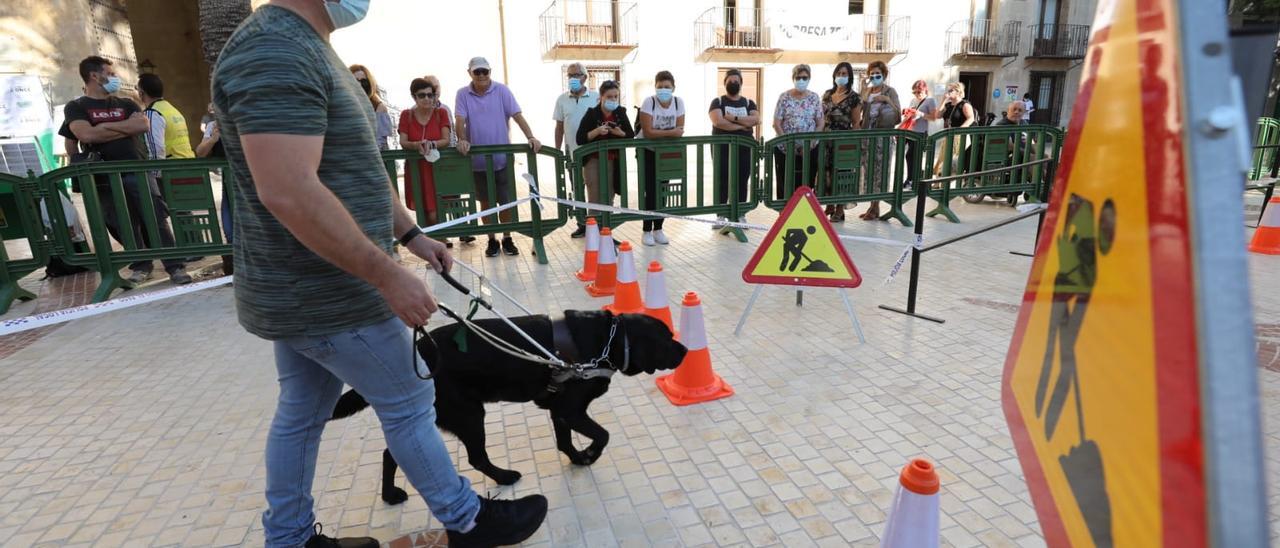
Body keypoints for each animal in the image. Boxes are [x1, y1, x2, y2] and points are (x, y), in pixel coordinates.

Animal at [332, 312, 691, 504]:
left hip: (432, 414)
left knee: (391, 452)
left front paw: (577, 458)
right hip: (468, 413)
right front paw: (589, 453)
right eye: (667, 337)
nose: (687, 350)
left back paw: (390, 494)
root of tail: (419, 349)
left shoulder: (559, 410)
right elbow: (602, 435)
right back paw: (504, 477)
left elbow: (564, 441)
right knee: (476, 457)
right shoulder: (572, 409)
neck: (607, 342)